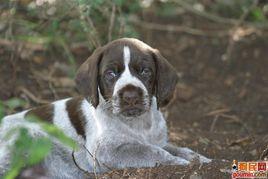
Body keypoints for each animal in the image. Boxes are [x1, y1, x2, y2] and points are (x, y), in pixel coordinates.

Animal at [0, 37, 211, 178]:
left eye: (145, 71)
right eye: (111, 73)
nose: (130, 96)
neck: (139, 124)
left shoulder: (158, 140)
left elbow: (178, 148)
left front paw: (201, 159)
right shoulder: (107, 150)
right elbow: (151, 151)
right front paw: (179, 163)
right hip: (26, 138)